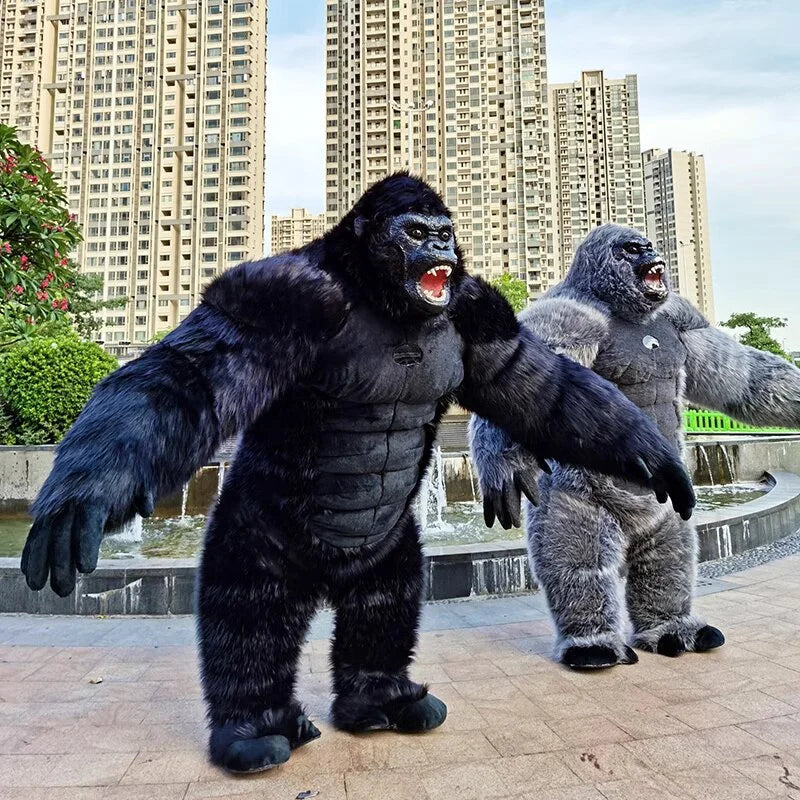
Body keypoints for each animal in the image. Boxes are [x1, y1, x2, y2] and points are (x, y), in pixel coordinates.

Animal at [21, 179, 694, 773]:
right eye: (416, 232)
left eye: (443, 233)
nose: (441, 249)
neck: (383, 299)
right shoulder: (280, 298)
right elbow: (189, 378)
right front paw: (78, 500)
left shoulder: (478, 314)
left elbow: (532, 386)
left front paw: (650, 454)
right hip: (257, 534)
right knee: (249, 615)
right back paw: (255, 731)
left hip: (387, 551)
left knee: (384, 606)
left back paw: (381, 700)